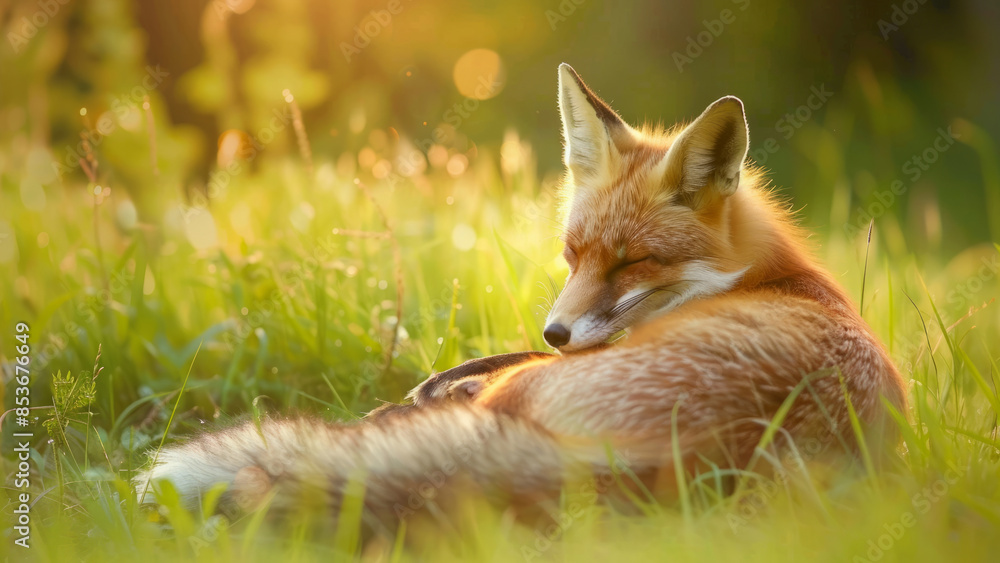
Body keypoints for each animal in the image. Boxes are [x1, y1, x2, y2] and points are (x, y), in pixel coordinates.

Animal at [136, 64, 907, 524]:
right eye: (572, 255)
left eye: (633, 262)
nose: (555, 333)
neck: (767, 273)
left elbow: (467, 378)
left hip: (532, 396)